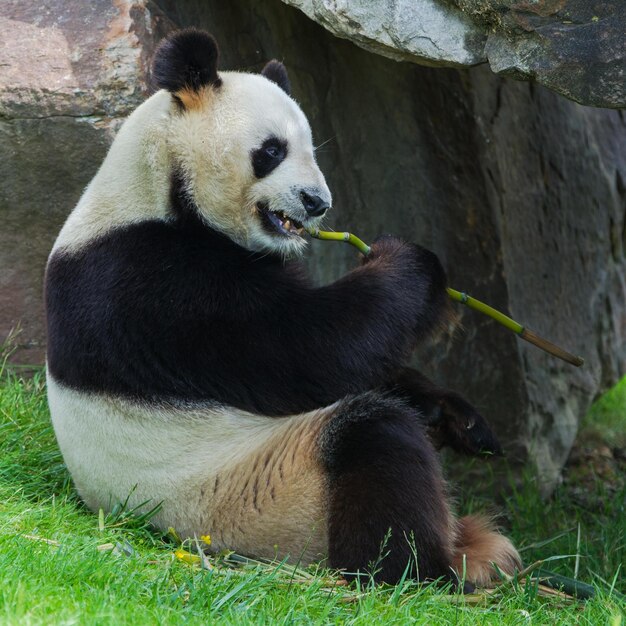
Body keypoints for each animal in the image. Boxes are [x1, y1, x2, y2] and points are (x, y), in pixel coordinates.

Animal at [46, 28, 520, 584]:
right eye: (271, 150)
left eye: (310, 148)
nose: (317, 202)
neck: (156, 186)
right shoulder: (151, 284)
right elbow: (313, 350)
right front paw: (412, 264)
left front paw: (458, 417)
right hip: (257, 498)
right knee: (369, 437)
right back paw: (428, 569)